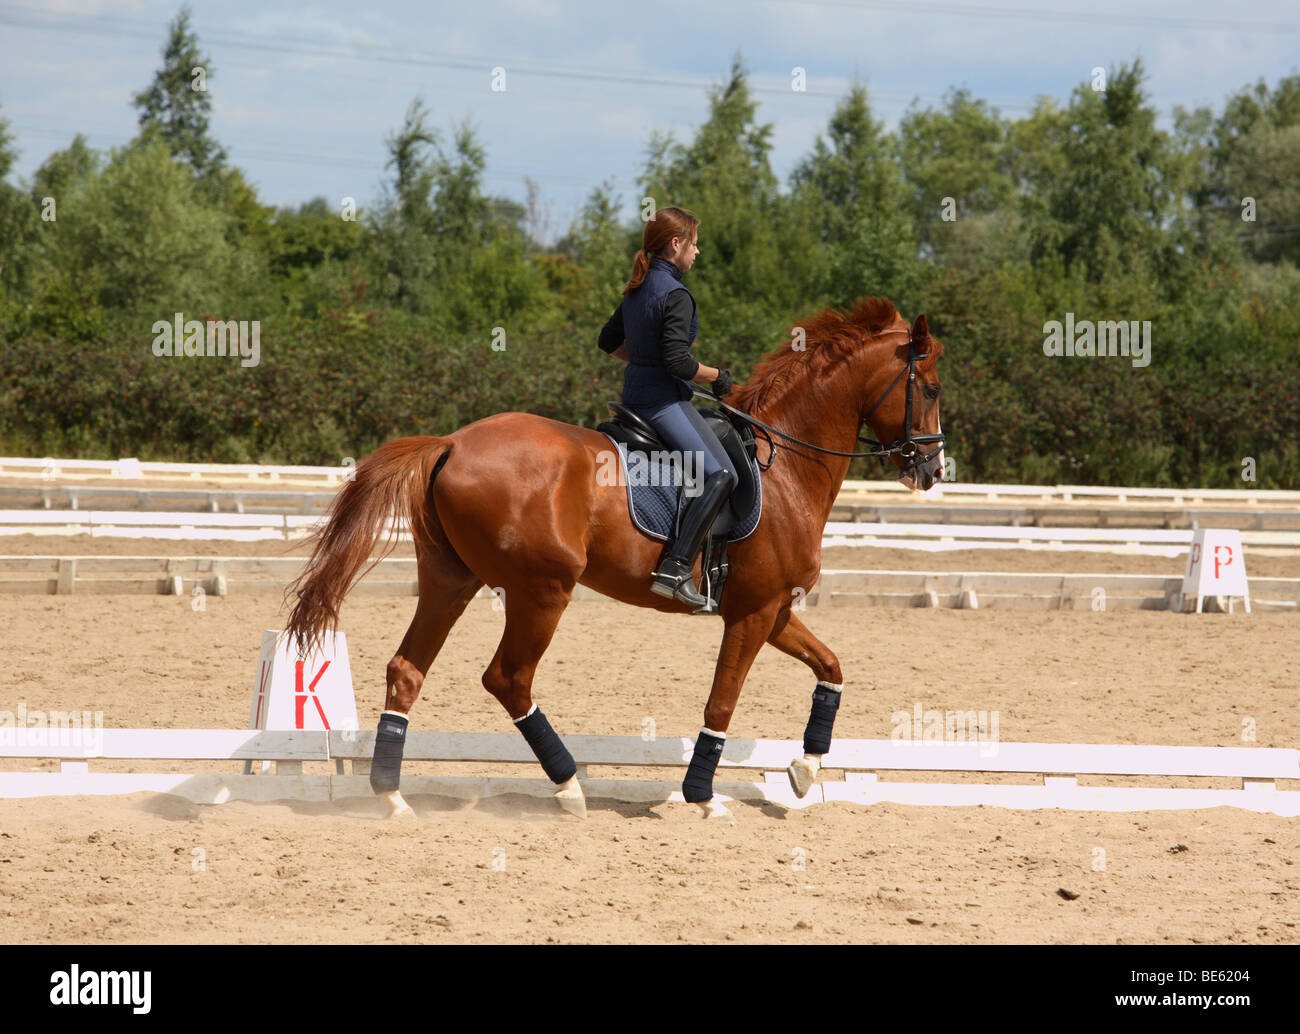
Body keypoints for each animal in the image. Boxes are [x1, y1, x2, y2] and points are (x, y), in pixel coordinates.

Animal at [285, 297, 945, 819]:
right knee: (508, 677)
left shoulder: (773, 609)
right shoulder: (752, 614)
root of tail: (450, 442)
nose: (933, 469)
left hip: (452, 579)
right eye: (933, 389)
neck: (786, 465)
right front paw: (703, 797)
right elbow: (723, 701)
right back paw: (569, 786)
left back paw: (392, 797)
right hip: (543, 590)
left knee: (407, 669)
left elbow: (831, 668)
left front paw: (806, 768)